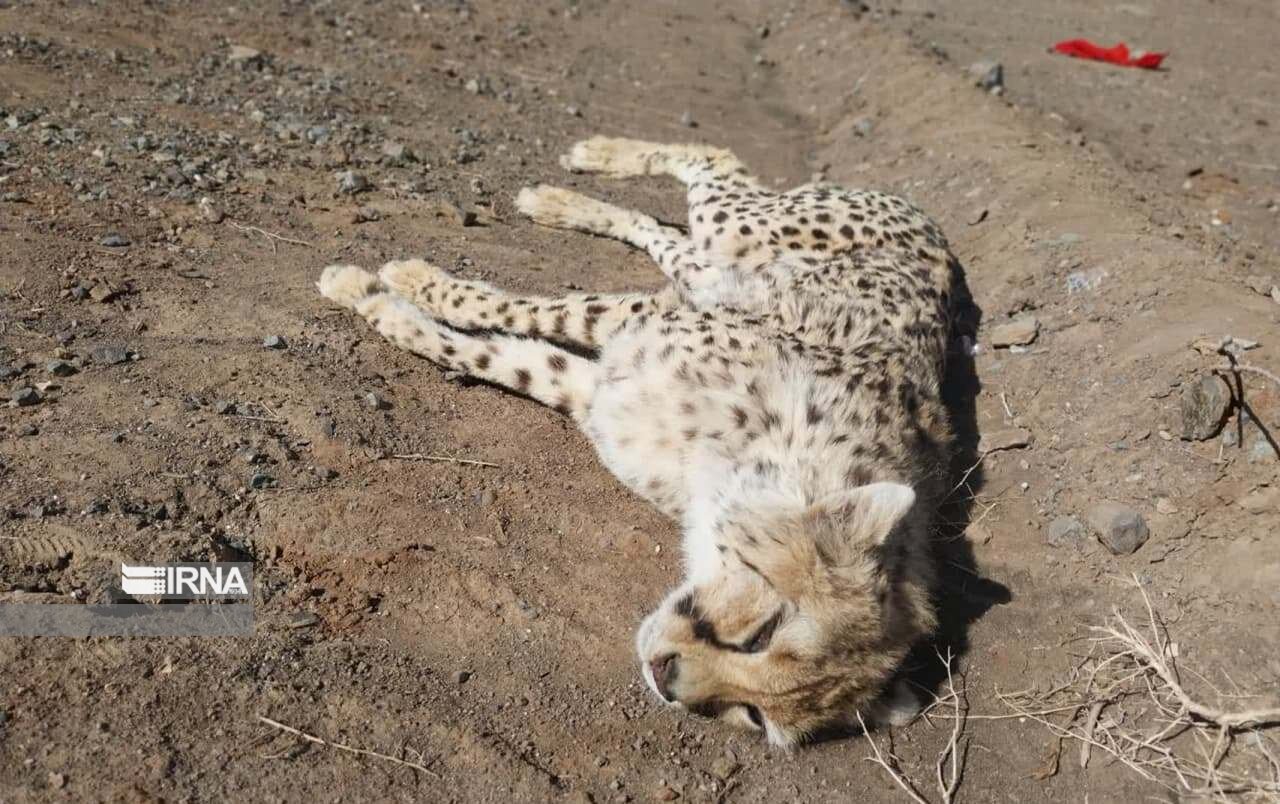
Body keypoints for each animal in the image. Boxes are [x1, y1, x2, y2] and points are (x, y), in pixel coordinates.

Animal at [320, 135, 962, 742]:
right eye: (763, 632)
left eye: (753, 714)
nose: (666, 680)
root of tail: (939, 242)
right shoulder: (640, 320)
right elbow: (537, 310)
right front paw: (386, 284)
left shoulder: (589, 388)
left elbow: (494, 355)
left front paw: (387, 299)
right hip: (739, 227)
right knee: (708, 165)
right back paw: (578, 172)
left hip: (719, 259)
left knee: (667, 234)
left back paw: (560, 198)